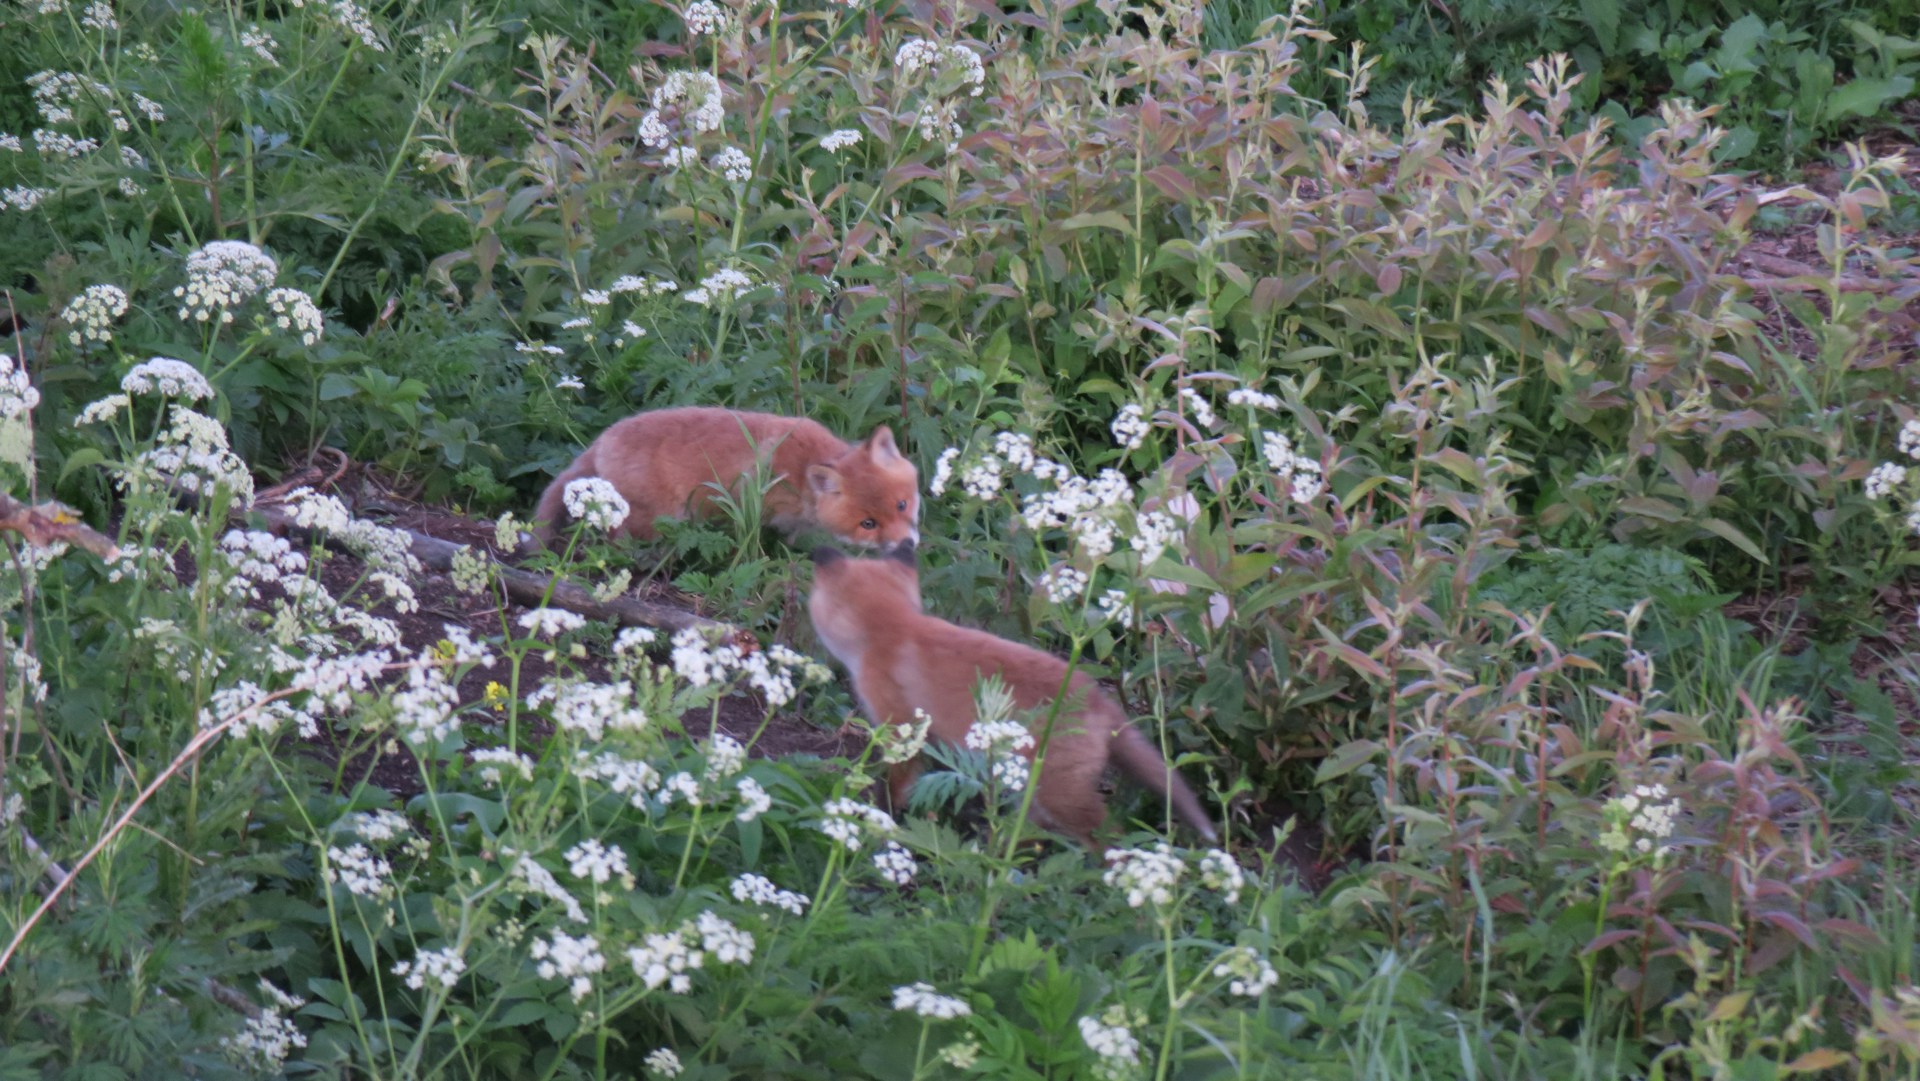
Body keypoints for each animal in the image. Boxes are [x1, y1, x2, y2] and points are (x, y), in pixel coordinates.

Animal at [807, 543, 1217, 850]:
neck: (893, 629)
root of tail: (1099, 700)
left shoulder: (900, 726)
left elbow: (893, 785)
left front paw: (881, 817)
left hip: (1061, 794)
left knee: (1107, 837)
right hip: (1033, 789)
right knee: (1032, 830)